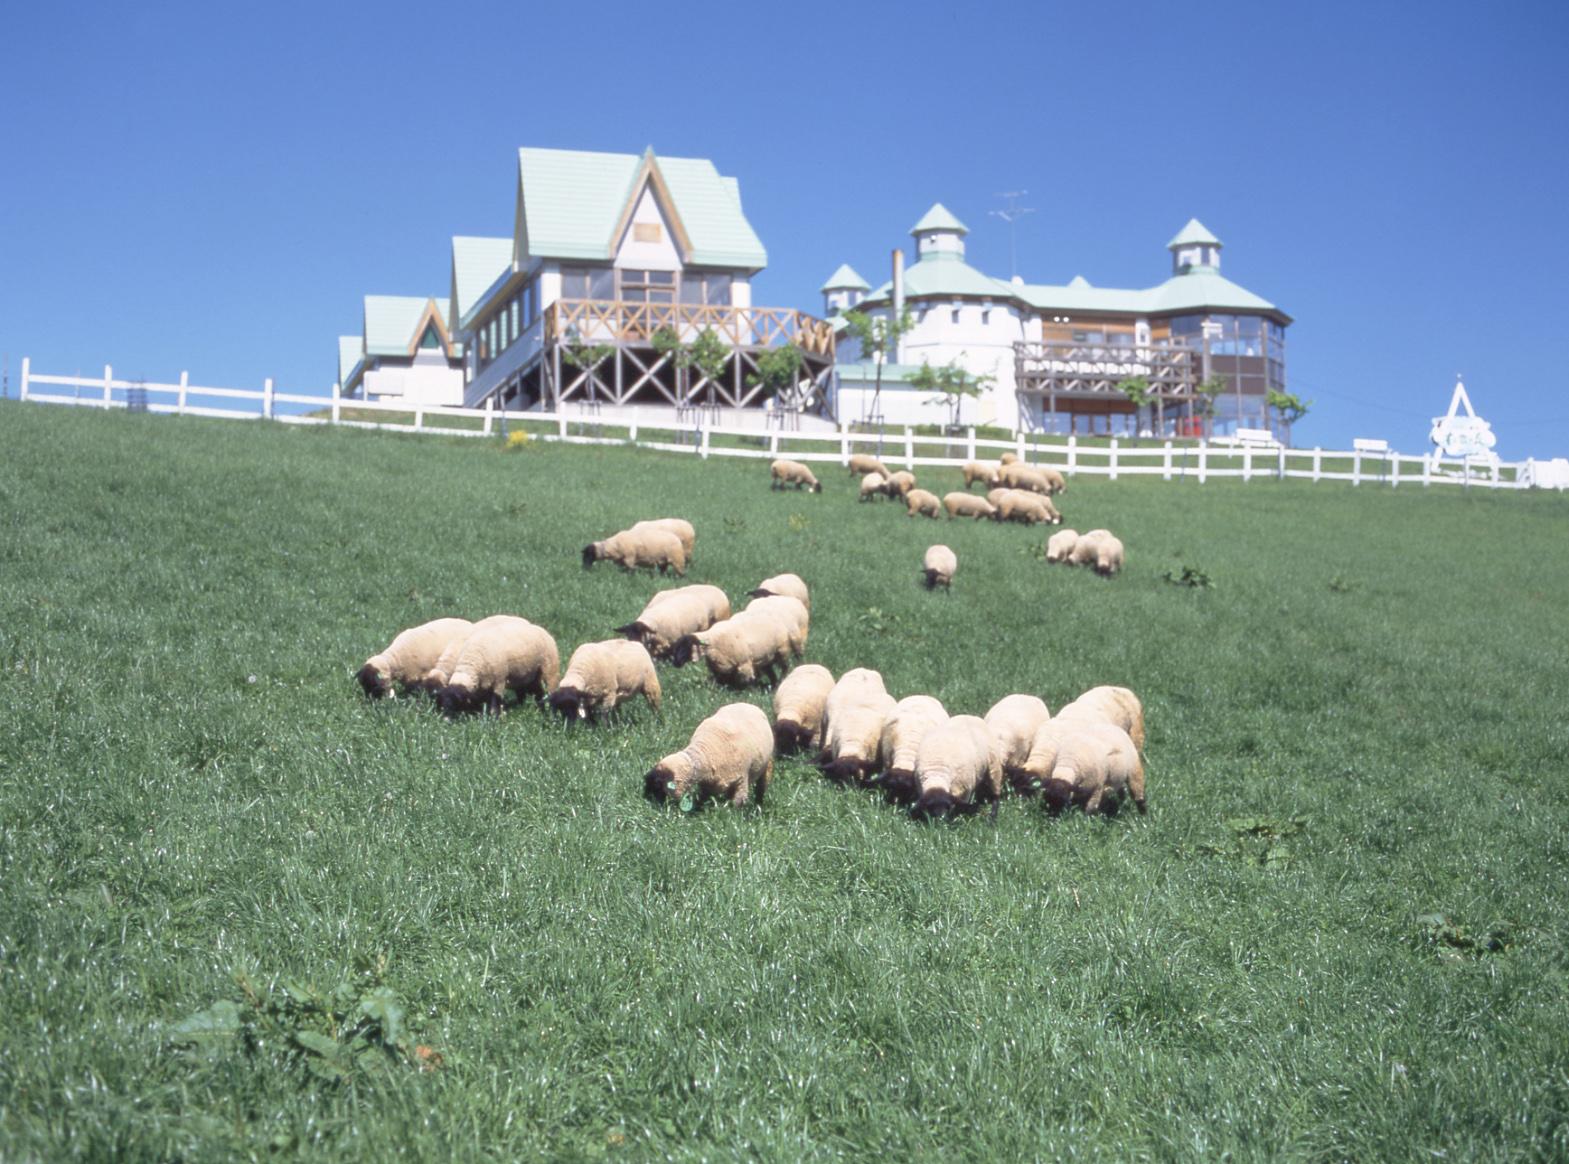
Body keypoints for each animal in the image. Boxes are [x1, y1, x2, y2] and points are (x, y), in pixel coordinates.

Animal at [646, 702, 775, 809]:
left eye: (657, 785)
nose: (649, 807)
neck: (704, 754)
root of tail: (747, 704)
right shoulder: (707, 785)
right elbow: (703, 799)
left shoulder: (741, 780)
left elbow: (736, 804)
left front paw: (732, 814)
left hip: (765, 765)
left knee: (762, 786)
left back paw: (758, 805)